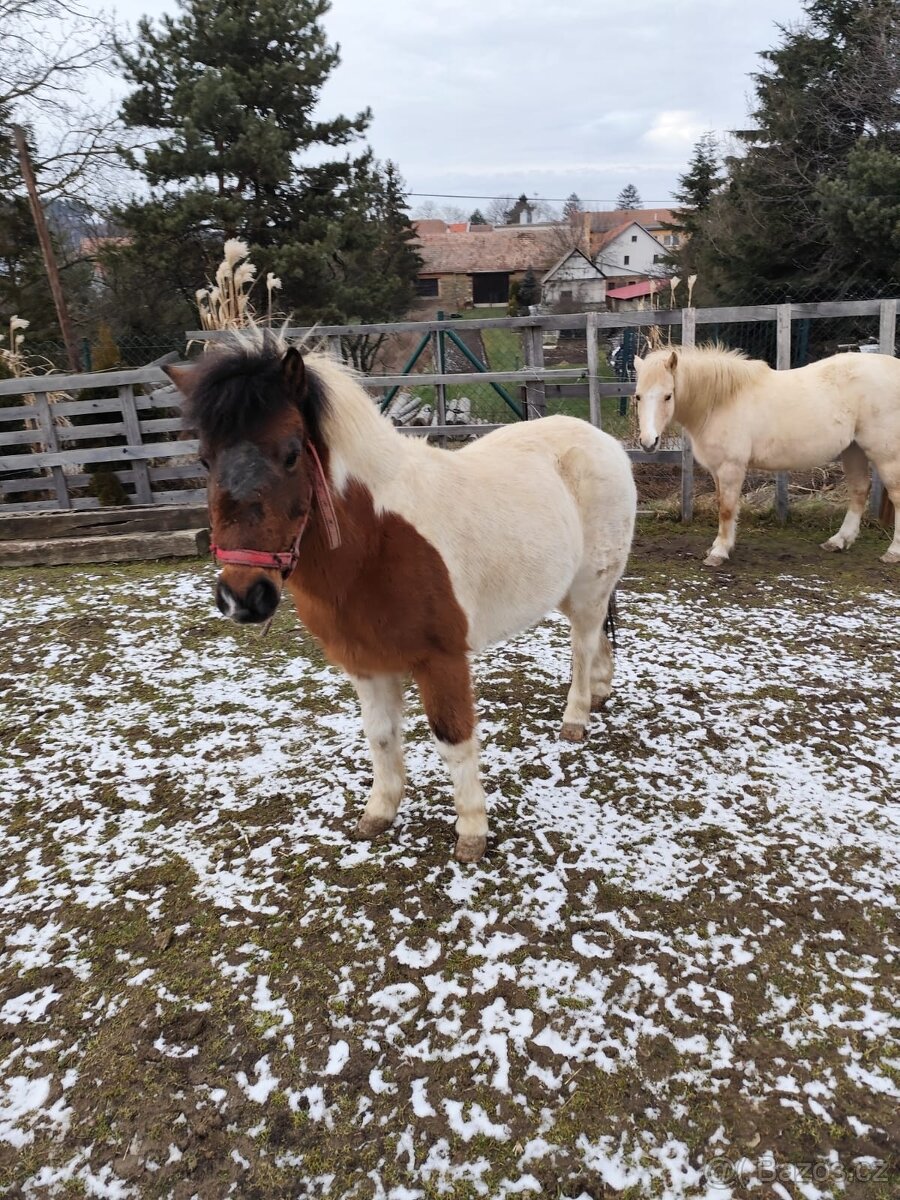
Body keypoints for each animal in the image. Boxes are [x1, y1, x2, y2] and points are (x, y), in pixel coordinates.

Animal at [167, 332, 636, 863]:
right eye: (205, 460)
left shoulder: (441, 661)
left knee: (582, 644)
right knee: (597, 638)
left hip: (589, 584)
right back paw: (600, 692)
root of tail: (600, 439)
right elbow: (380, 735)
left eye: (290, 454)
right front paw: (380, 811)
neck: (376, 542)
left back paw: (576, 716)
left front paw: (471, 832)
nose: (243, 597)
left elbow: (453, 738)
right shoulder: (364, 662)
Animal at [634, 346, 900, 566]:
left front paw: (719, 553)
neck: (721, 402)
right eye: (638, 396)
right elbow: (722, 504)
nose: (648, 442)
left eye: (668, 395)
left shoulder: (731, 467)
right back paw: (838, 541)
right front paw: (719, 545)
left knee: (896, 496)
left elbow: (727, 509)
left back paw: (892, 552)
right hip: (853, 450)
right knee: (859, 490)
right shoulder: (717, 469)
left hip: (885, 455)